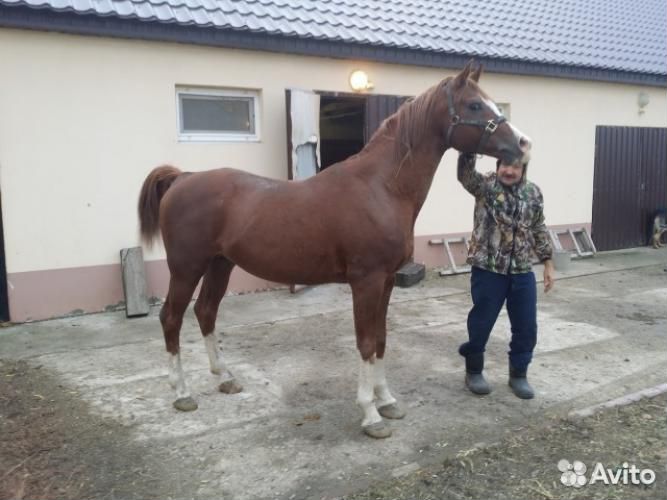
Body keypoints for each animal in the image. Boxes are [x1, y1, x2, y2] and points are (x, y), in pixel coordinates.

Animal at [138, 61, 532, 438]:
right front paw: (371, 415)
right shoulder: (366, 282)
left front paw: (387, 400)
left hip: (220, 264)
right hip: (186, 267)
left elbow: (381, 339)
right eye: (475, 105)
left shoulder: (387, 281)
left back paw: (225, 378)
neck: (381, 187)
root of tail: (183, 178)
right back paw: (182, 393)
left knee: (205, 312)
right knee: (171, 318)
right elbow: (365, 342)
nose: (524, 145)